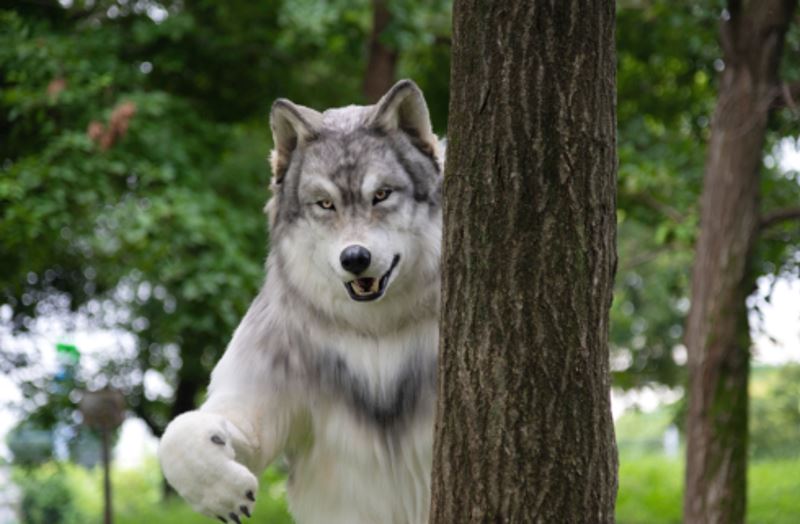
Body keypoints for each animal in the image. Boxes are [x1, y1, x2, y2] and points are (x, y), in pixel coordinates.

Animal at [158, 80, 443, 524]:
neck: (374, 332)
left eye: (381, 195)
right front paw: (222, 493)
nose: (355, 258)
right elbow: (177, 432)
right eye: (325, 204)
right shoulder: (251, 415)